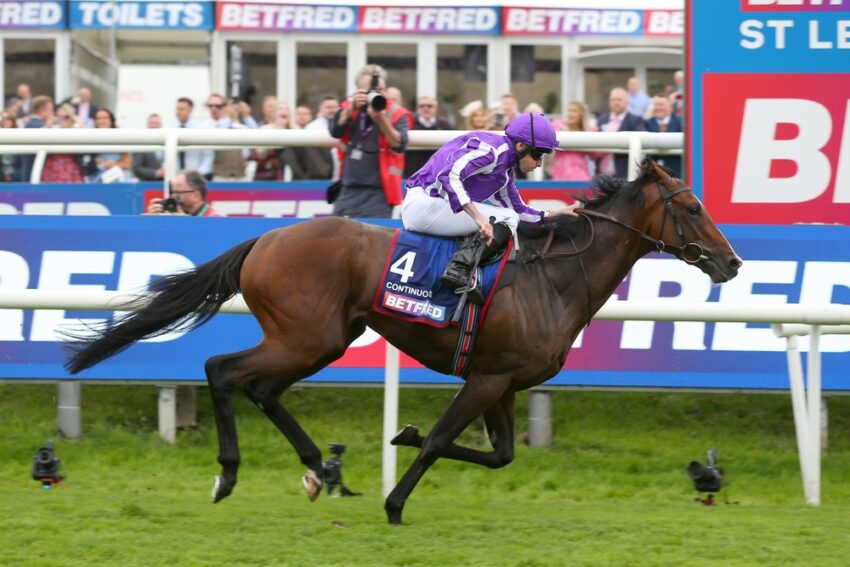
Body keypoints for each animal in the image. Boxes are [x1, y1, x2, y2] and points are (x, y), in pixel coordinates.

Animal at [65, 160, 742, 525]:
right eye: (691, 205)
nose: (732, 263)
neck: (553, 277)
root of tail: (266, 239)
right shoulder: (487, 379)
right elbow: (444, 440)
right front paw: (395, 500)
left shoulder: (504, 381)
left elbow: (499, 455)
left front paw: (402, 436)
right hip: (307, 336)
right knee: (224, 370)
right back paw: (228, 476)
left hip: (321, 339)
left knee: (261, 387)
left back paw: (317, 469)